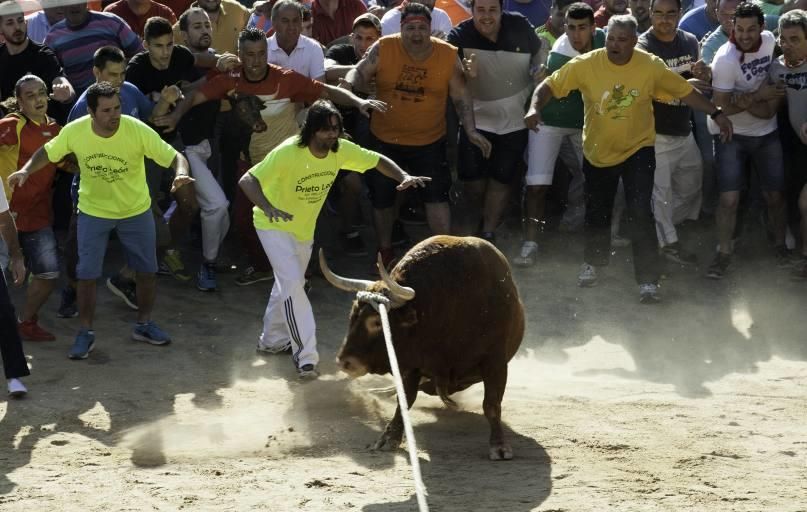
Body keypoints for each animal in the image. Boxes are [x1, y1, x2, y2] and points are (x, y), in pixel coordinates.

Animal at [318, 235, 528, 460]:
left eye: (376, 322)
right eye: (353, 315)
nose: (344, 362)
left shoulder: (495, 362)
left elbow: (491, 404)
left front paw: (499, 445)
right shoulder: (412, 365)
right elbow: (404, 399)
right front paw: (388, 438)